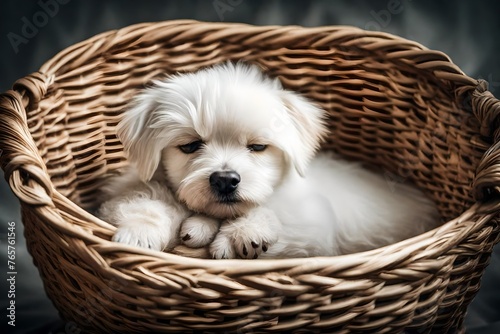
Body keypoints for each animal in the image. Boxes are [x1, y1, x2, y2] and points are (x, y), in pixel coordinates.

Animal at [99, 61, 440, 258]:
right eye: (191, 145)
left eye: (258, 147)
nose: (225, 180)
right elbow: (147, 200)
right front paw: (140, 232)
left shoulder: (311, 229)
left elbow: (275, 212)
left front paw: (243, 233)